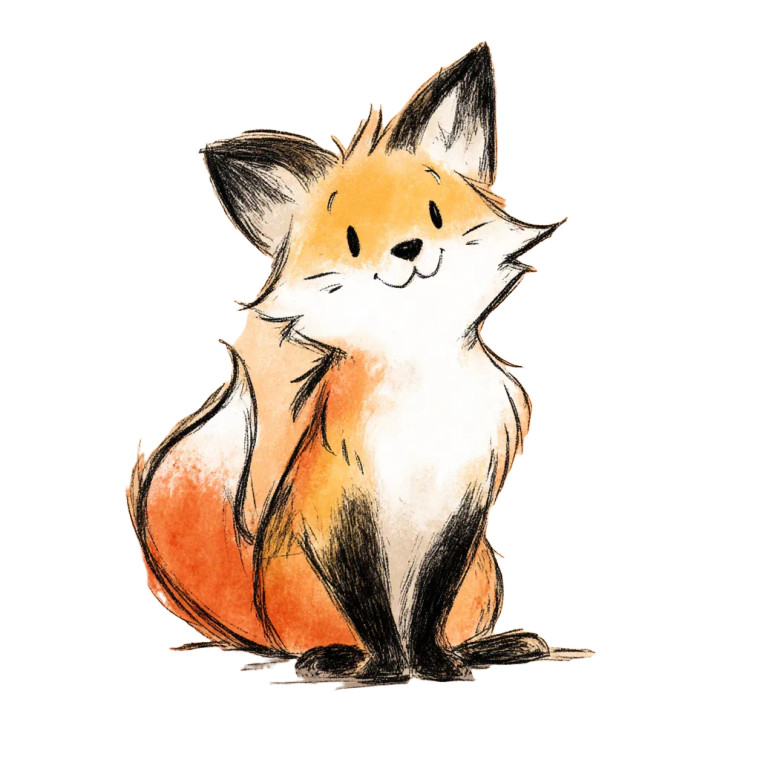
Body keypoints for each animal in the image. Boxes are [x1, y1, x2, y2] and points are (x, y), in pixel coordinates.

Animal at [128, 42, 590, 683]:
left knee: (458, 624)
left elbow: (429, 605)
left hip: (484, 577)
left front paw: (436, 666)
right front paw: (388, 668)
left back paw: (494, 647)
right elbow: (369, 603)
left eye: (434, 214)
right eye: (350, 240)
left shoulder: (462, 511)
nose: (409, 248)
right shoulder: (338, 515)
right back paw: (333, 658)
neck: (419, 391)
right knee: (309, 643)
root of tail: (261, 614)